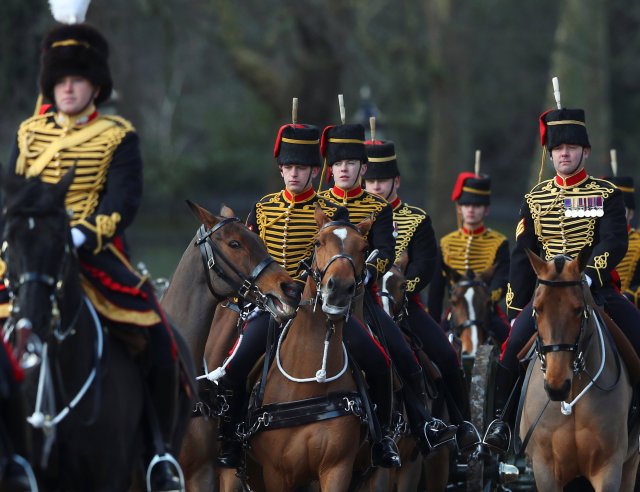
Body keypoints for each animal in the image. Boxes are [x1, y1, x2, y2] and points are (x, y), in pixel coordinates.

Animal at [520, 250, 640, 492]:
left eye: (578, 309)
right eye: (537, 309)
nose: (557, 387)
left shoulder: (609, 468)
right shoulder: (544, 469)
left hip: (630, 464)